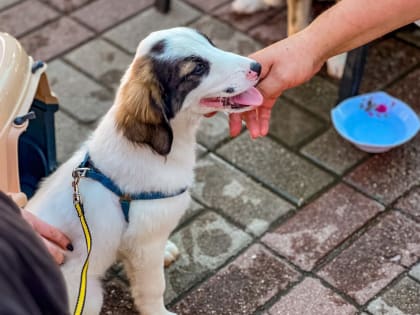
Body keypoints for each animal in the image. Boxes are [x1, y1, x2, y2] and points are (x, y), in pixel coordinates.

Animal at [26, 27, 262, 315]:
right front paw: (159, 313)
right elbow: (153, 287)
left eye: (211, 43)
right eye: (197, 69)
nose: (258, 67)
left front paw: (167, 251)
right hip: (90, 296)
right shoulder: (144, 245)